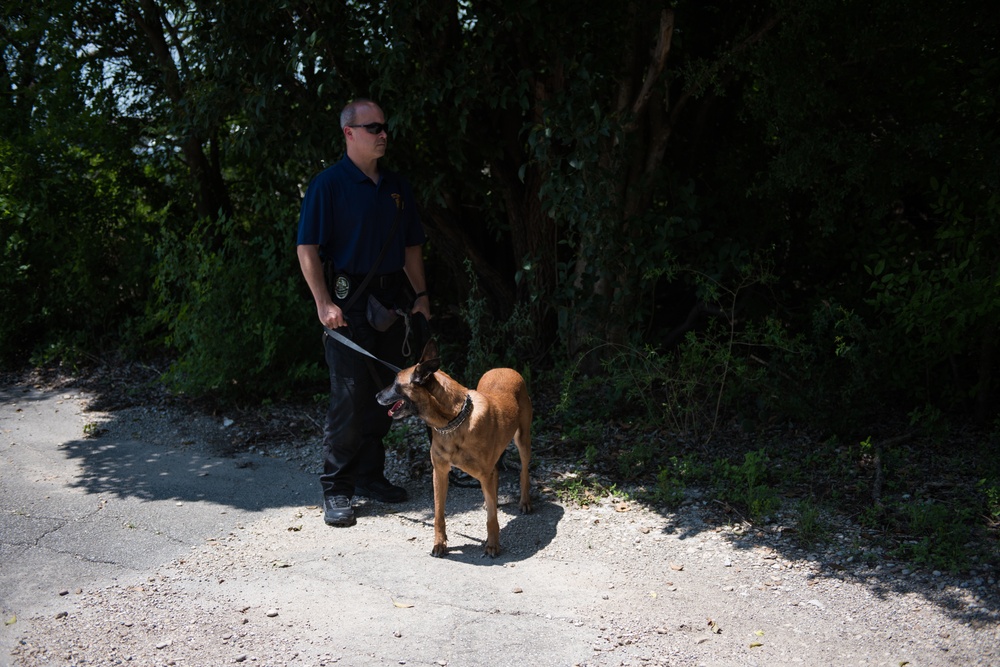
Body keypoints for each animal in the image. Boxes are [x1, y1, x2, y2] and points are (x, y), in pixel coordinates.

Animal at [376, 340, 532, 560]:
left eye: (396, 383)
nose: (376, 395)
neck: (454, 421)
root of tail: (504, 368)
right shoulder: (440, 472)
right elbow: (438, 514)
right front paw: (439, 543)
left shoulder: (484, 473)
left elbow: (491, 519)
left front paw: (493, 544)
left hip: (523, 440)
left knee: (524, 471)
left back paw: (525, 501)